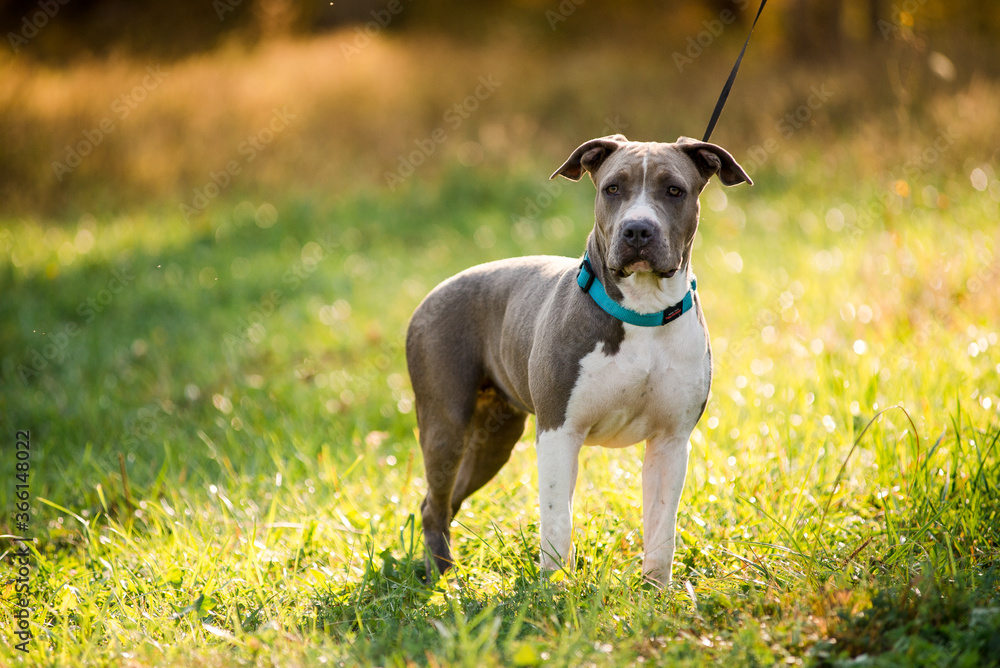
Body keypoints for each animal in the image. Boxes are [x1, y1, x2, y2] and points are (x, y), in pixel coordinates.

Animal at [406, 136, 752, 584]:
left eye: (675, 190)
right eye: (612, 188)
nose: (637, 229)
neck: (642, 309)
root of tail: (433, 292)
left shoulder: (671, 442)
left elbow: (662, 528)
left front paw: (656, 590)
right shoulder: (559, 432)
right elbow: (557, 520)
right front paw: (554, 587)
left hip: (495, 441)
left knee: (446, 500)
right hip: (445, 426)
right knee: (434, 501)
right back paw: (439, 574)